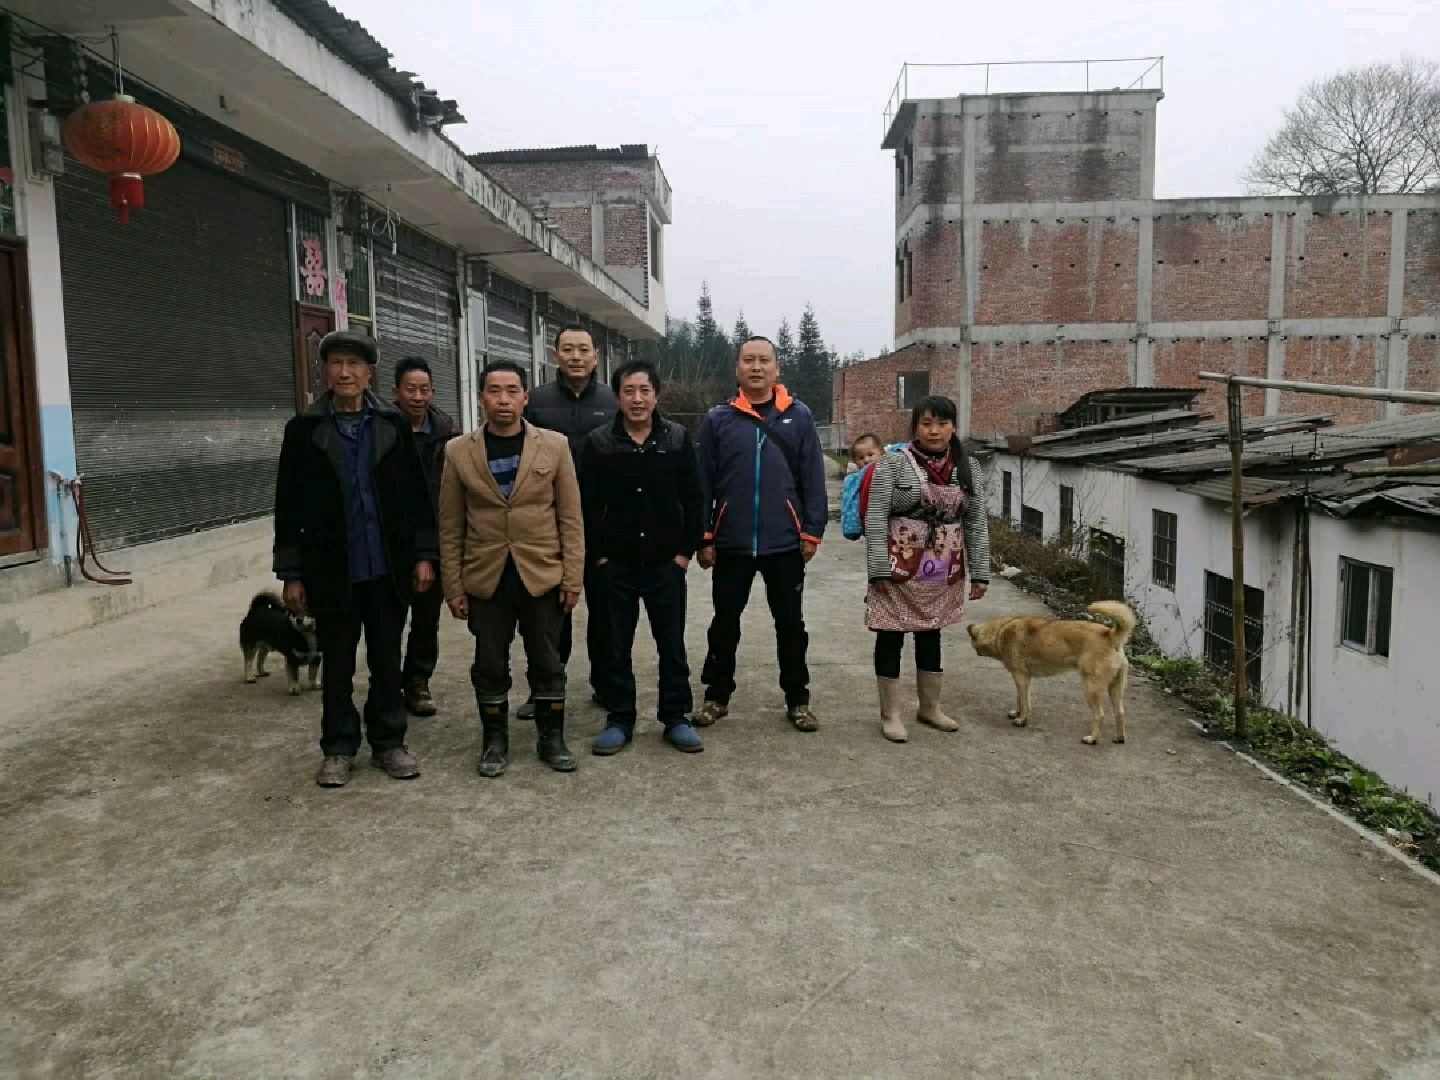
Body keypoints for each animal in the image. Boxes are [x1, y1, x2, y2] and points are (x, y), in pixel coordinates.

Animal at [967, 601, 1134, 743]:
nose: (975, 652)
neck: (1000, 631)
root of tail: (1111, 636)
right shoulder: (1024, 680)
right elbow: (1021, 699)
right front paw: (1017, 713)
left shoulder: (1021, 678)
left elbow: (1024, 702)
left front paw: (1022, 720)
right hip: (1115, 688)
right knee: (1120, 712)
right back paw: (1119, 738)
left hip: (1090, 689)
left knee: (1100, 715)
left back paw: (1092, 739)